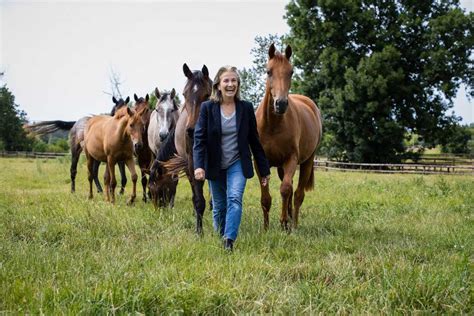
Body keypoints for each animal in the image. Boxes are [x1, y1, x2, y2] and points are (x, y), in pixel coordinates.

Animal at [161, 63, 211, 233]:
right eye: (184, 94)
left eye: (207, 95)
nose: (193, 130)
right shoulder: (192, 164)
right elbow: (198, 199)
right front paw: (199, 231)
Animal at [258, 43, 324, 230]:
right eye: (268, 71)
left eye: (291, 72)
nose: (280, 104)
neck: (272, 126)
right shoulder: (260, 162)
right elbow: (266, 197)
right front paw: (265, 228)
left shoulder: (291, 159)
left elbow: (285, 189)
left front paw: (283, 223)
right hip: (282, 166)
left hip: (307, 162)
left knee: (297, 194)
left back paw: (293, 224)